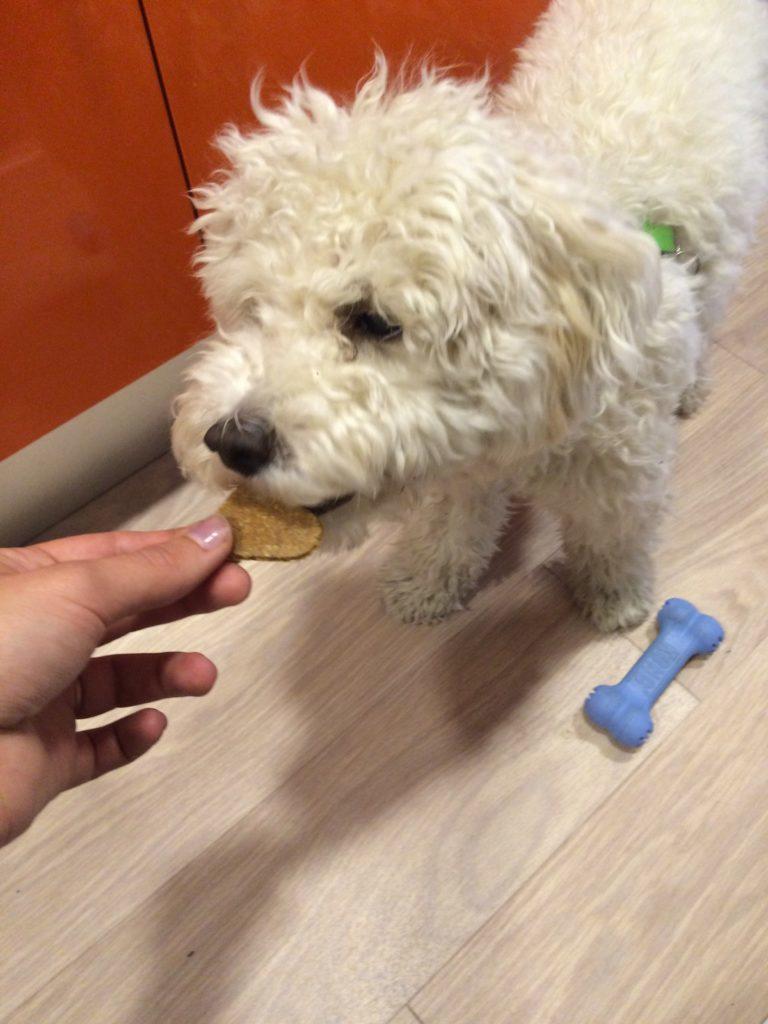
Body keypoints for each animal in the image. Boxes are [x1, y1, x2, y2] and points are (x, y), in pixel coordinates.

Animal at [171, 0, 765, 630]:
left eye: (374, 321)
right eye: (254, 307)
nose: (232, 442)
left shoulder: (618, 468)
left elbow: (612, 531)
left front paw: (614, 593)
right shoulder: (457, 469)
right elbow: (450, 524)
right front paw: (426, 582)